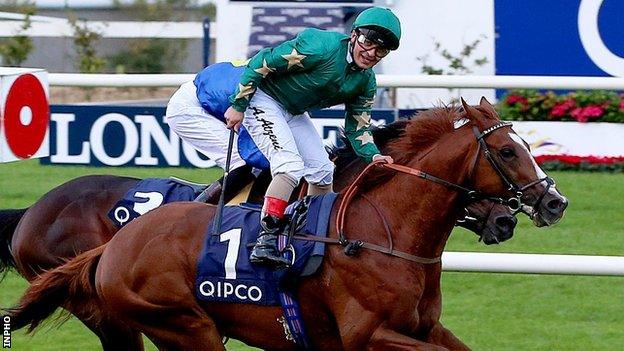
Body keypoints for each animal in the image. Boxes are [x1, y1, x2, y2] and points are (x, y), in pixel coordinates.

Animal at [4, 98, 560, 350]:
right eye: (508, 151)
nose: (554, 204)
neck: (379, 233)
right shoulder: (369, 336)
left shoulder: (425, 328)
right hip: (178, 325)